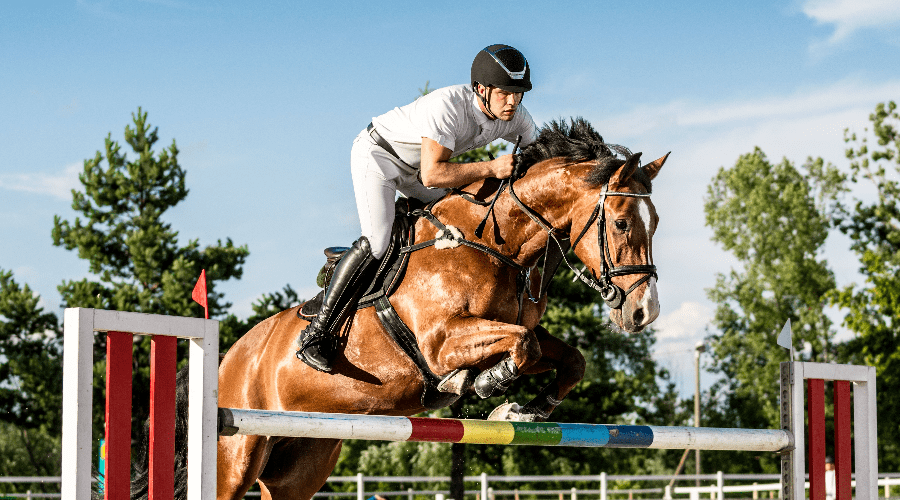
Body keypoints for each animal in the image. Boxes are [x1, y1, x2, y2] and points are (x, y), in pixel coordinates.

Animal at [213, 119, 668, 500]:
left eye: (657, 222)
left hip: (302, 460)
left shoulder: (508, 328)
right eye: (622, 223)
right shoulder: (442, 341)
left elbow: (570, 359)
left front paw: (520, 409)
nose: (644, 311)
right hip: (237, 456)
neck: (494, 243)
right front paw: (484, 383)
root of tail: (230, 356)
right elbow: (523, 346)